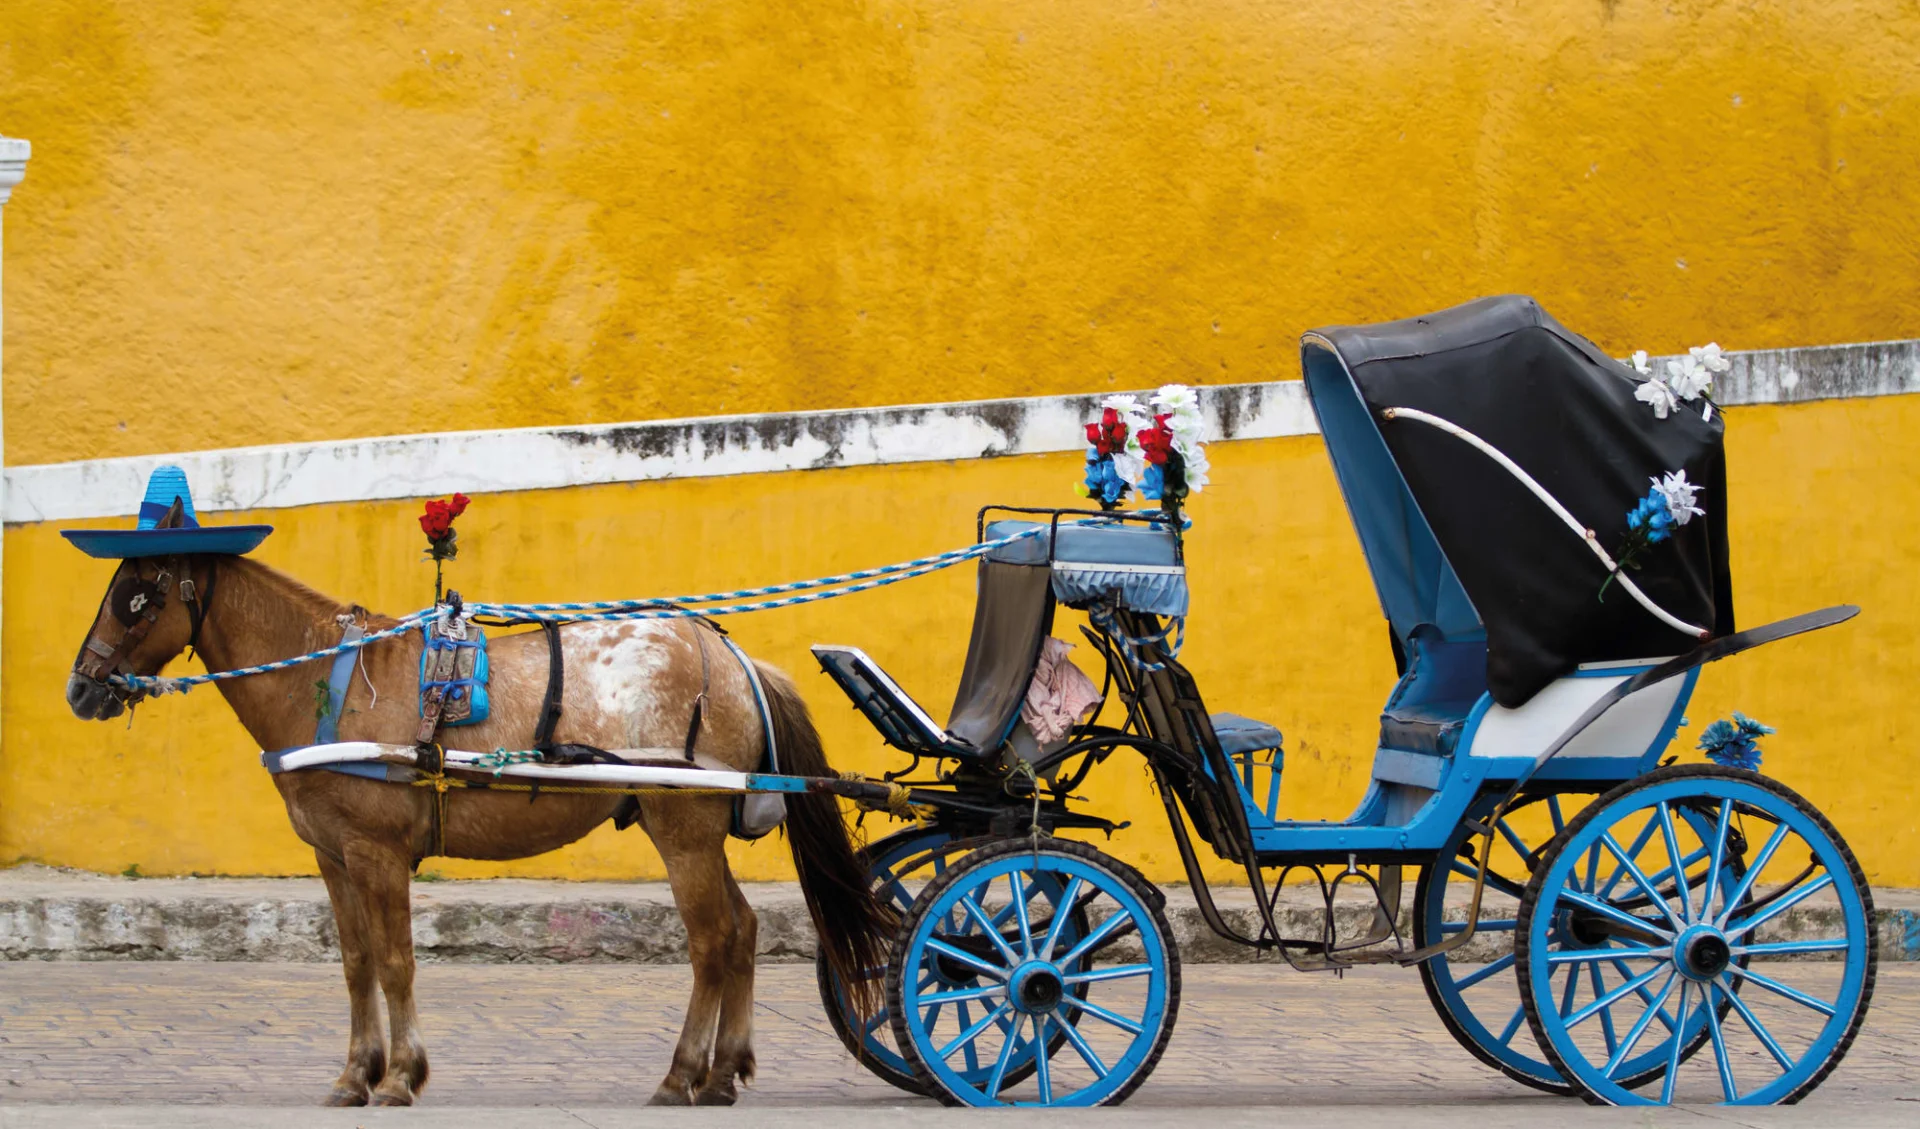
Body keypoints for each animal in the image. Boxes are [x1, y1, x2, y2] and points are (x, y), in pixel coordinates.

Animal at [65, 552, 890, 1105]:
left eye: (136, 598)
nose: (80, 687)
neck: (326, 681)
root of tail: (733, 656)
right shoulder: (333, 854)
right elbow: (356, 963)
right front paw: (354, 1074)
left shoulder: (377, 850)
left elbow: (396, 961)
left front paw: (400, 1075)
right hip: (693, 823)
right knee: (743, 930)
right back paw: (722, 1072)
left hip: (680, 823)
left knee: (713, 938)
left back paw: (682, 1073)